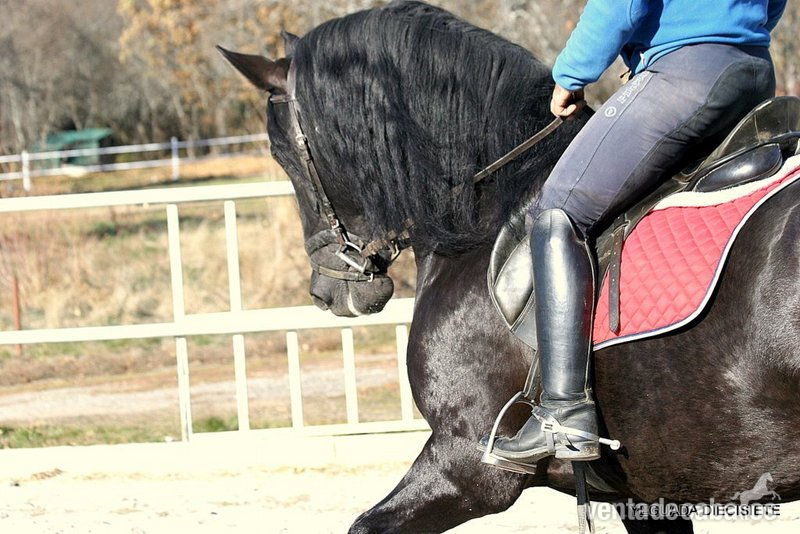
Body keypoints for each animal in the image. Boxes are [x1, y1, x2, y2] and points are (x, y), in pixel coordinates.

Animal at [220, 2, 800, 532]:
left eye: (282, 154)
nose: (327, 293)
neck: (487, 205)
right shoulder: (643, 492)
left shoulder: (466, 466)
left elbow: (364, 525)